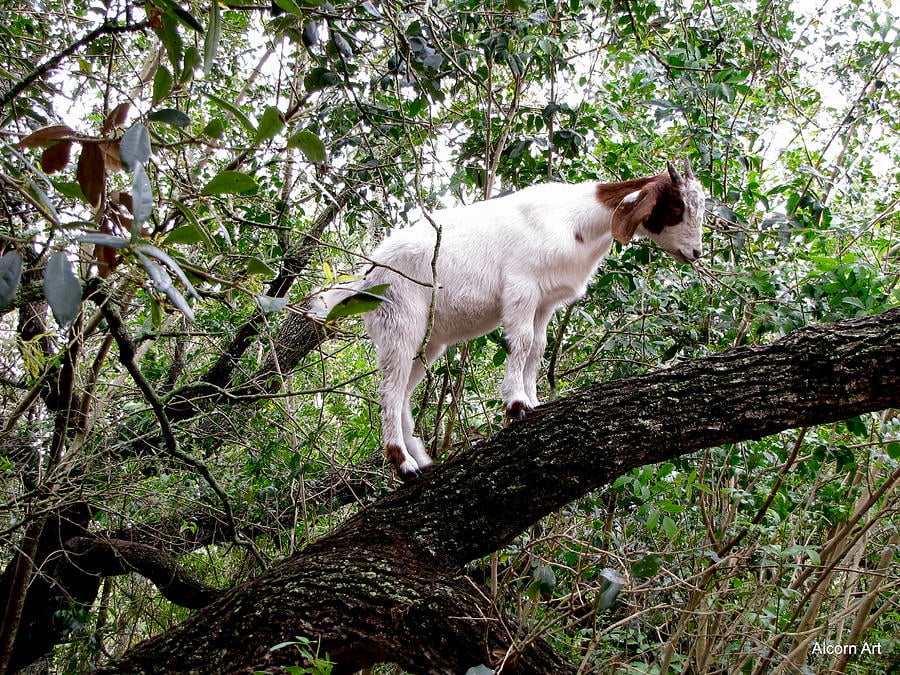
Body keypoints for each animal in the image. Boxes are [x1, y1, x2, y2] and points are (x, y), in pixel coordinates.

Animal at [320, 162, 708, 480]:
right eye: (676, 207)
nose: (696, 252)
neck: (576, 220)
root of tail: (367, 275)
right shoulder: (522, 286)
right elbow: (520, 342)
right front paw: (516, 405)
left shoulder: (546, 300)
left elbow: (537, 347)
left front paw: (534, 401)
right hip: (401, 319)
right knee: (390, 389)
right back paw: (403, 464)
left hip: (430, 340)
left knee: (403, 390)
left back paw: (422, 461)